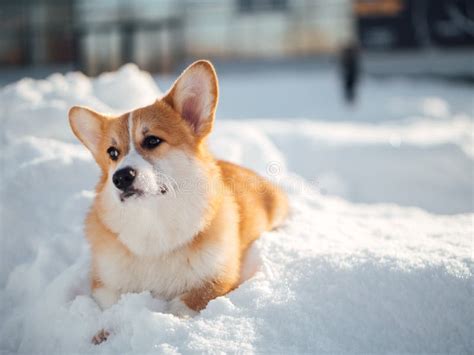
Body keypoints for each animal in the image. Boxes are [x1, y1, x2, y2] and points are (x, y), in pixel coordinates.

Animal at [68, 60, 286, 322]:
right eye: (112, 153)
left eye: (152, 140)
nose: (120, 178)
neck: (154, 222)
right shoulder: (105, 284)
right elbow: (110, 308)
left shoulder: (218, 278)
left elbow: (184, 305)